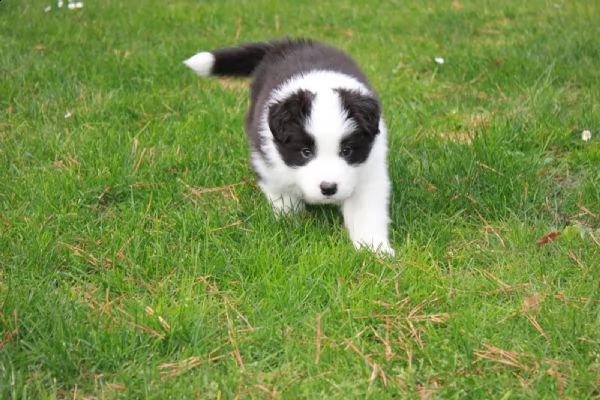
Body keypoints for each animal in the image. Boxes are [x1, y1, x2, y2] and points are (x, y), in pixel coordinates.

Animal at [185, 39, 396, 255]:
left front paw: (375, 250)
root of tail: (288, 43)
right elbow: (285, 199)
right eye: (305, 152)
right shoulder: (268, 165)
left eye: (347, 151)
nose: (328, 188)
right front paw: (292, 227)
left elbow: (367, 213)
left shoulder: (369, 174)